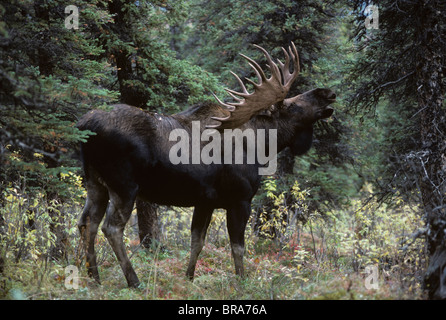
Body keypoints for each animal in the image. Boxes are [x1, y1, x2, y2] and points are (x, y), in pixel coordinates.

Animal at [77, 43, 334, 288]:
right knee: (111, 228)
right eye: (291, 105)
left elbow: (197, 242)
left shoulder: (205, 201)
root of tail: (84, 124)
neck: (262, 145)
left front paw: (189, 278)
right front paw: (242, 281)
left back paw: (93, 277)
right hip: (124, 185)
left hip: (95, 182)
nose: (327, 93)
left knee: (86, 223)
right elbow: (237, 247)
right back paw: (133, 281)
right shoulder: (240, 199)